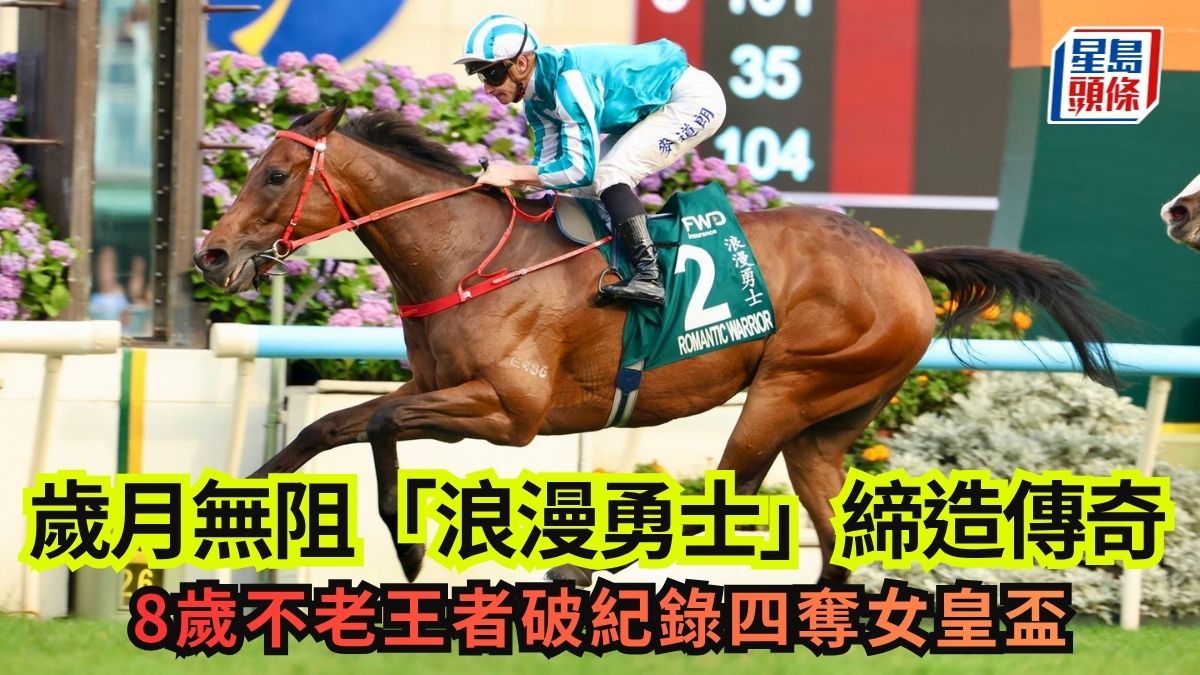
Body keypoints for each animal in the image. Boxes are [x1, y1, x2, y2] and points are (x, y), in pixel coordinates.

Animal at [195, 103, 1117, 586]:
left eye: (275, 175)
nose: (211, 252)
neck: (466, 253)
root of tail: (901, 259)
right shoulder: (442, 395)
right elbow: (346, 427)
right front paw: (240, 507)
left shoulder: (508, 411)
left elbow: (366, 428)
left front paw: (404, 547)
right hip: (828, 422)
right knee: (835, 533)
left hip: (788, 387)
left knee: (727, 494)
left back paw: (581, 573)